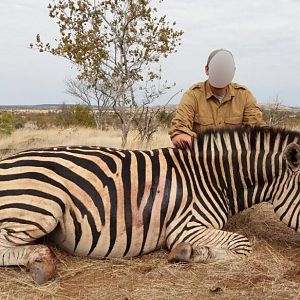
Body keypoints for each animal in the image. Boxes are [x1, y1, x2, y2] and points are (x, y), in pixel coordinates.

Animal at [0, 126, 298, 284]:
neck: (211, 178)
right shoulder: (186, 227)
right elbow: (243, 244)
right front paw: (187, 253)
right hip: (44, 204)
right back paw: (41, 263)